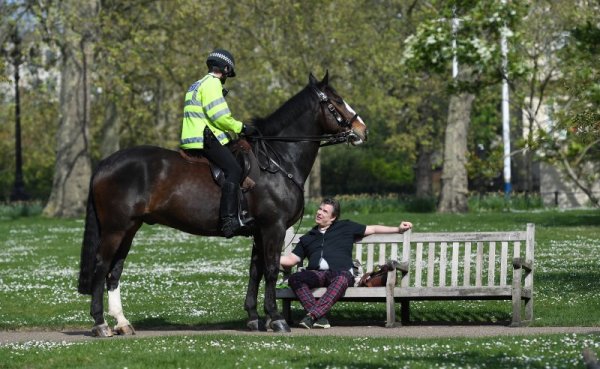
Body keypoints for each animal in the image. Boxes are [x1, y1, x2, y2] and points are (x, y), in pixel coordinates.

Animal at [77, 70, 368, 334]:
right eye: (337, 101)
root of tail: (106, 163)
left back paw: (122, 323)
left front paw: (254, 318)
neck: (277, 160)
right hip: (115, 229)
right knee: (101, 268)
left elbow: (255, 271)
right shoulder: (273, 227)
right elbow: (271, 269)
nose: (362, 130)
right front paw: (276, 319)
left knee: (114, 271)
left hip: (129, 229)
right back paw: (100, 323)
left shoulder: (259, 231)